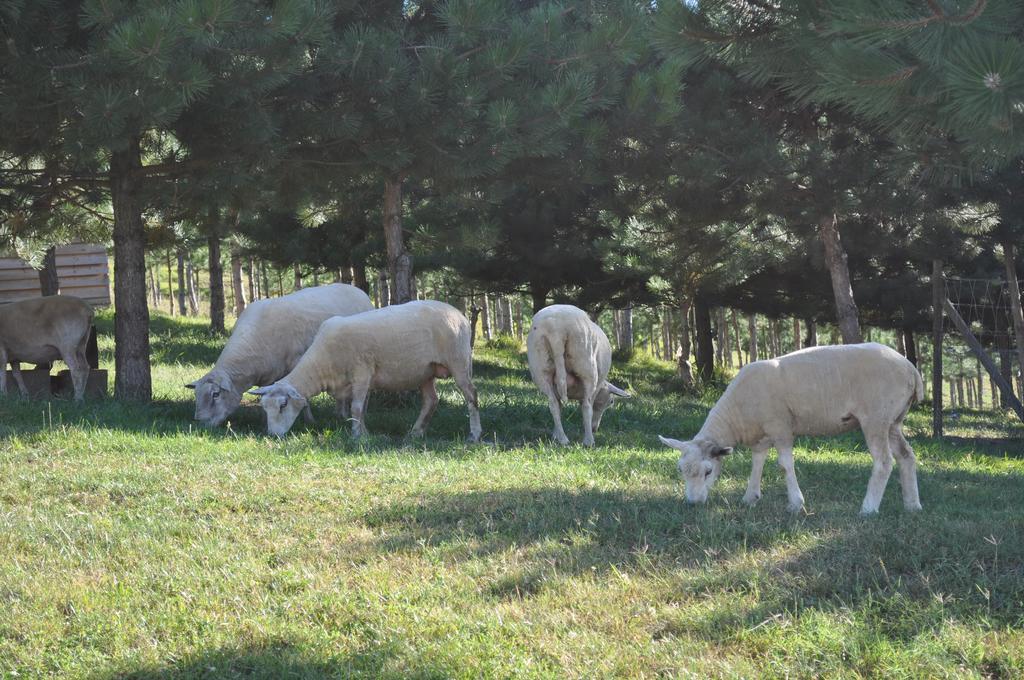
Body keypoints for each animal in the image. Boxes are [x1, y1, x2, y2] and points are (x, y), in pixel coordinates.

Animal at [188, 280, 372, 426]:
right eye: (196, 395)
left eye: (216, 394)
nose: (200, 423)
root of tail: (356, 289)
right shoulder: (267, 374)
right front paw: (264, 420)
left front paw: (309, 420)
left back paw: (344, 413)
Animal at [251, 301, 483, 440]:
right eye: (264, 408)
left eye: (283, 405)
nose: (272, 436)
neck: (323, 364)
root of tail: (459, 314)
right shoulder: (360, 382)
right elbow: (361, 409)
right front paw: (364, 432)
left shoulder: (361, 373)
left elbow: (356, 407)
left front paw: (356, 436)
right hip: (425, 371)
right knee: (431, 401)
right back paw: (416, 433)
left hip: (459, 361)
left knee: (471, 395)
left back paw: (474, 434)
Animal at [528, 303, 630, 446]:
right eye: (611, 402)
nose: (595, 428)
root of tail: (555, 329)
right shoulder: (596, 388)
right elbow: (588, 406)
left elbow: (559, 406)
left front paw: (555, 434)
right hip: (586, 365)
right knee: (586, 406)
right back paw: (588, 441)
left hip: (540, 367)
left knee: (553, 404)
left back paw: (563, 439)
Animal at [659, 346, 925, 516]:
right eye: (680, 470)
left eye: (708, 471)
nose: (693, 504)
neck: (736, 413)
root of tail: (911, 368)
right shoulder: (762, 436)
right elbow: (757, 463)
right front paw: (750, 497)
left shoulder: (780, 428)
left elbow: (785, 465)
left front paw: (796, 504)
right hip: (894, 421)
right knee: (906, 456)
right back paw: (913, 505)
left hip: (876, 418)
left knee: (884, 461)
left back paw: (868, 508)